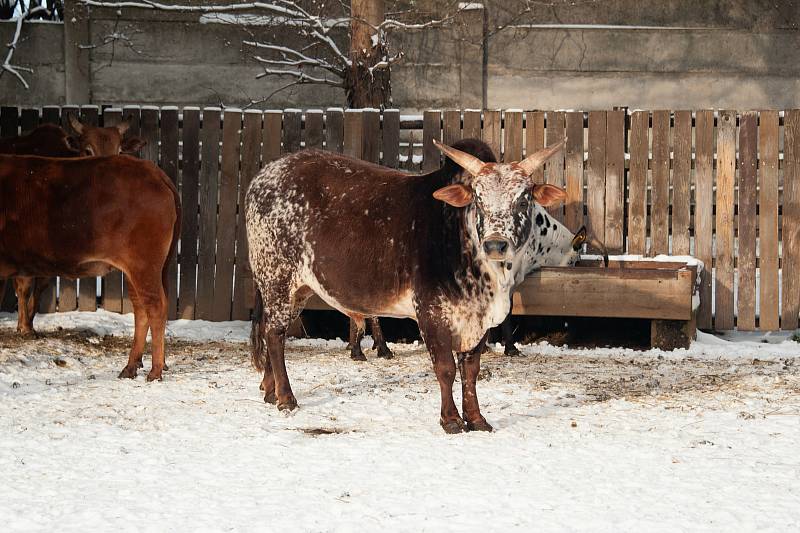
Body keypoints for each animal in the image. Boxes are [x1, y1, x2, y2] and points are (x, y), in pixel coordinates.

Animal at [0, 156, 178, 380]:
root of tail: (155, 172)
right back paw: (131, 367)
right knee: (141, 309)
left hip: (144, 266)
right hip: (140, 270)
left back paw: (155, 370)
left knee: (156, 307)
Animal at [247, 136, 564, 432]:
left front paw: (476, 419)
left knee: (270, 330)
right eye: (478, 198)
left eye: (523, 199)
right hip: (276, 278)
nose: (496, 244)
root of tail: (264, 176)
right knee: (274, 335)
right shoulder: (431, 312)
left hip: (297, 290)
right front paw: (451, 420)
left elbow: (471, 371)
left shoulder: (479, 322)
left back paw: (270, 390)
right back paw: (286, 398)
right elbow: (446, 369)